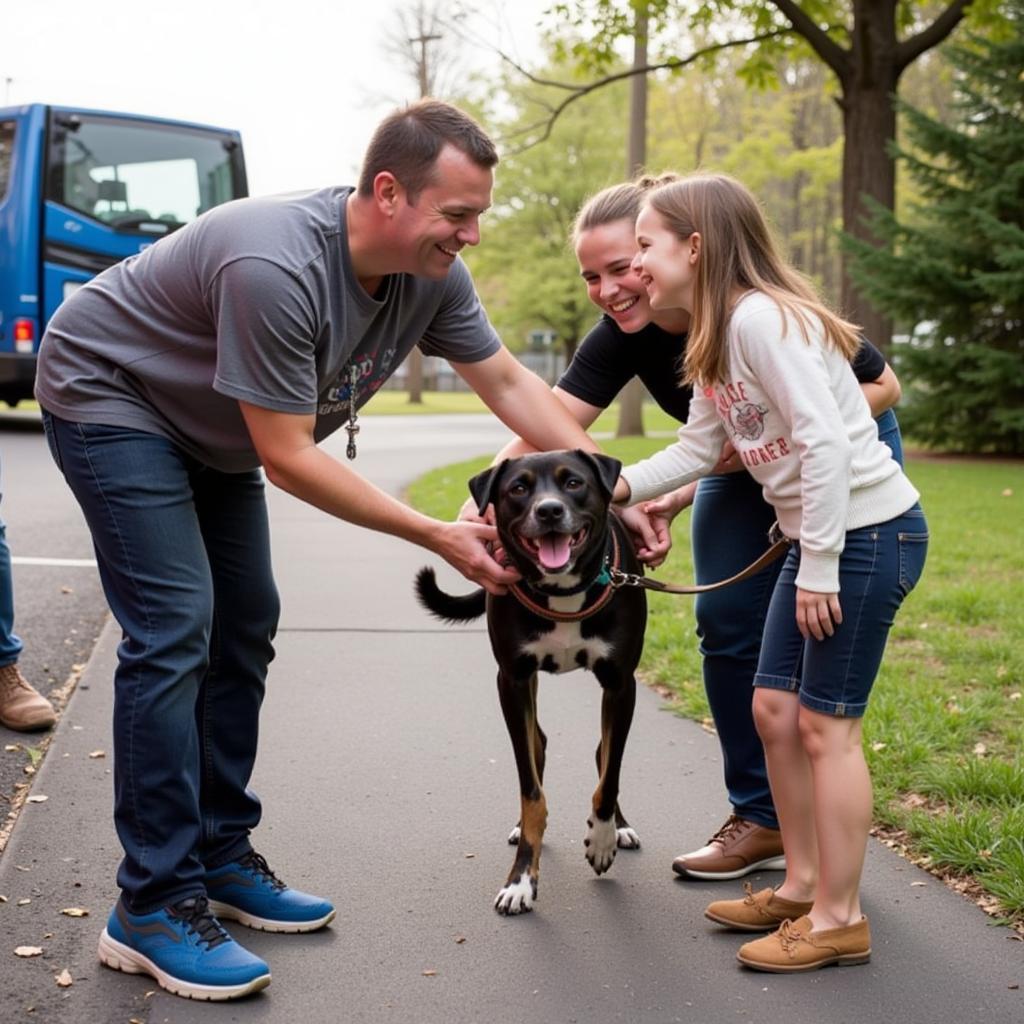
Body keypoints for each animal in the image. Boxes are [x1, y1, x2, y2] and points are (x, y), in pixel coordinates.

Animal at [411, 452, 643, 917]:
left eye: (573, 483)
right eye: (518, 488)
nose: (549, 511)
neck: (565, 592)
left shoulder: (621, 684)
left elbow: (609, 775)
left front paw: (603, 837)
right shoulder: (513, 680)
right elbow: (530, 788)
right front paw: (520, 880)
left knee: (603, 754)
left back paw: (619, 827)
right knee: (537, 745)